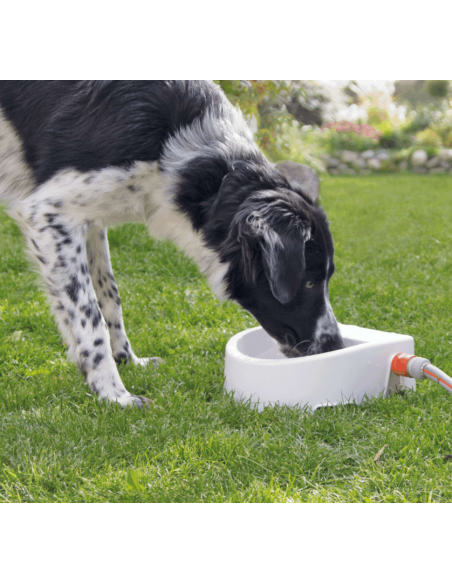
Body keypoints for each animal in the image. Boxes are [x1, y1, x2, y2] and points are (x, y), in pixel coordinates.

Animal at [0, 81, 342, 406]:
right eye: (309, 283)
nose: (335, 345)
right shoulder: (47, 213)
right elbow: (89, 314)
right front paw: (113, 395)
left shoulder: (89, 220)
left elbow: (110, 294)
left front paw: (127, 359)